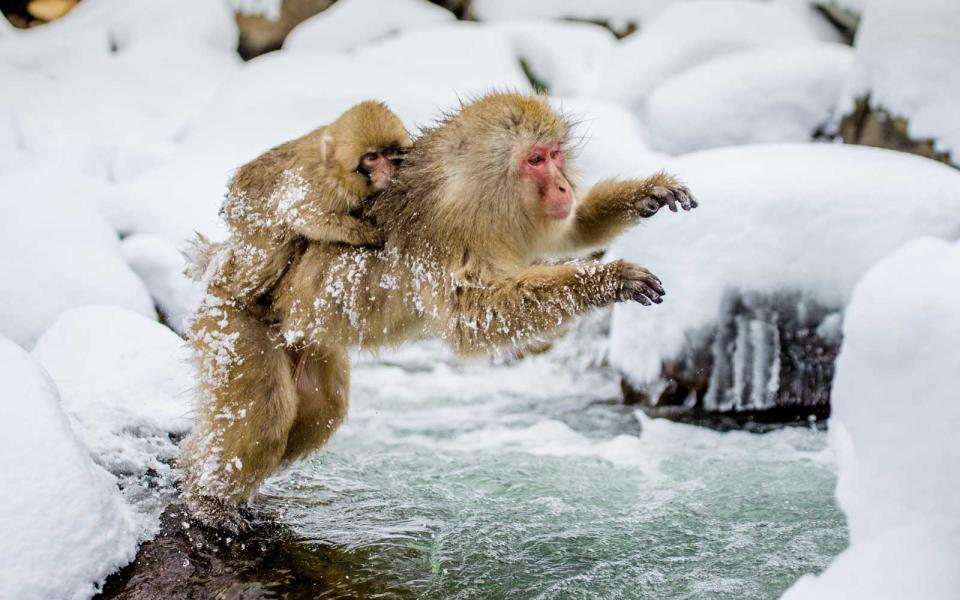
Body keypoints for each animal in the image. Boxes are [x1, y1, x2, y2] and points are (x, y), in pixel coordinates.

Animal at [180, 90, 692, 528]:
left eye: (555, 154)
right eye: (535, 160)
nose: (564, 186)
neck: (478, 192)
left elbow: (569, 232)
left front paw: (646, 193)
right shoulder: (450, 232)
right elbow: (474, 316)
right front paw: (609, 280)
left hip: (304, 344)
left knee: (318, 415)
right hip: (230, 327)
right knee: (267, 415)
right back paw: (205, 496)